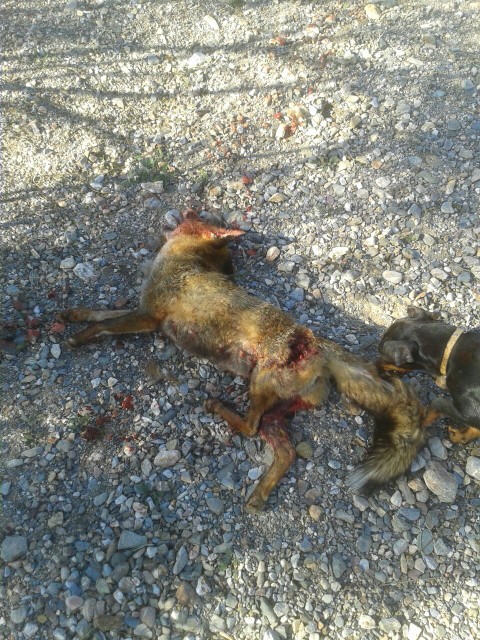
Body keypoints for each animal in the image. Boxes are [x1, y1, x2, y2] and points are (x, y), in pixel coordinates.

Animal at [60, 211, 438, 511]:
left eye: (195, 215)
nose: (183, 208)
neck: (183, 263)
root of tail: (317, 344)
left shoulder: (148, 317)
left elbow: (102, 325)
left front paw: (79, 337)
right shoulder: (141, 311)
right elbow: (100, 311)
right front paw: (72, 314)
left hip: (259, 386)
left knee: (250, 427)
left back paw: (218, 408)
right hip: (276, 411)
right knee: (286, 453)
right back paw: (259, 495)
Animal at [378, 306, 480, 444]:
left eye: (383, 355)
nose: (375, 366)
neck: (450, 351)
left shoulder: (470, 411)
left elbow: (437, 403)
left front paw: (420, 423)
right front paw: (461, 436)